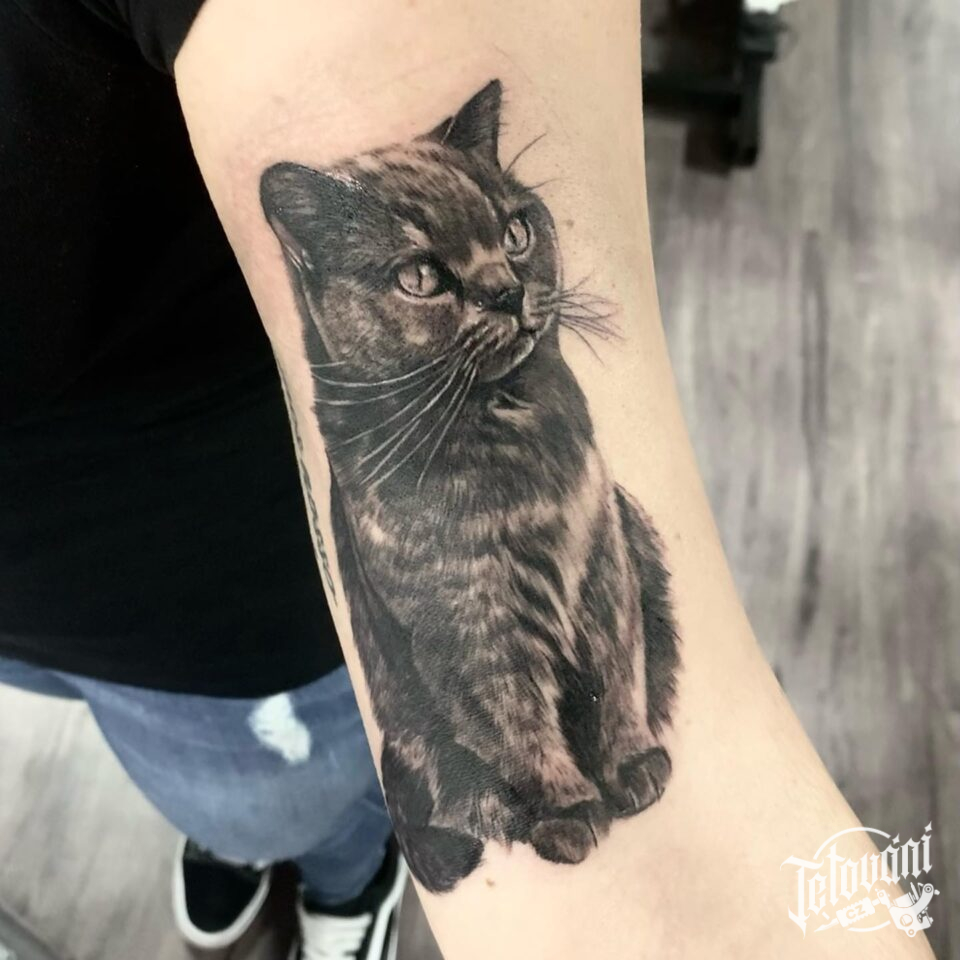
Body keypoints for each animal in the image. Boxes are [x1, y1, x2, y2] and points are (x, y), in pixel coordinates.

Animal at [261, 80, 680, 894]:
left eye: (514, 232)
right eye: (421, 277)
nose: (505, 291)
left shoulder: (602, 555)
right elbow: (517, 721)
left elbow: (617, 672)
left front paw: (633, 767)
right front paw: (571, 813)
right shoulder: (470, 622)